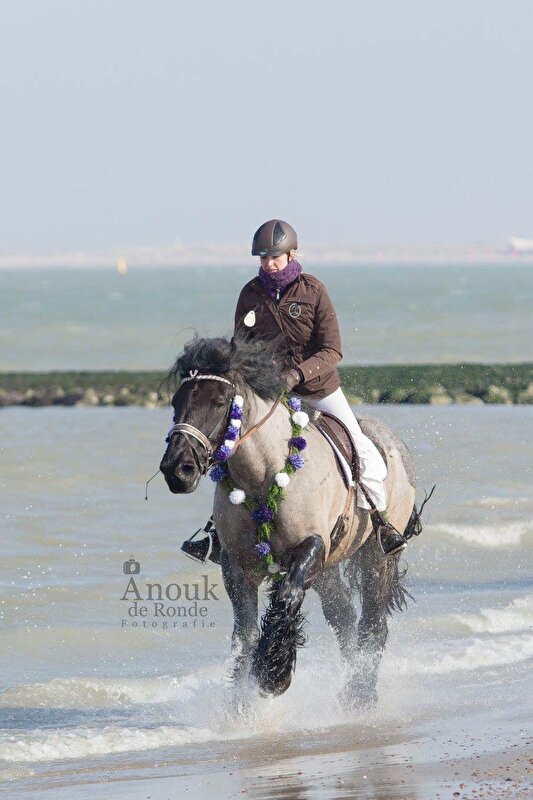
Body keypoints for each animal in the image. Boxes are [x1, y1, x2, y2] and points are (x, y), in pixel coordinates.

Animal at [159, 335, 422, 710]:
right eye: (176, 401)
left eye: (220, 402)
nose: (177, 470)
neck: (262, 477)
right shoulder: (237, 566)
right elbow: (245, 633)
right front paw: (241, 706)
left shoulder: (311, 548)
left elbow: (285, 597)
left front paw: (273, 674)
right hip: (330, 568)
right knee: (343, 618)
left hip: (378, 554)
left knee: (372, 622)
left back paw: (361, 696)